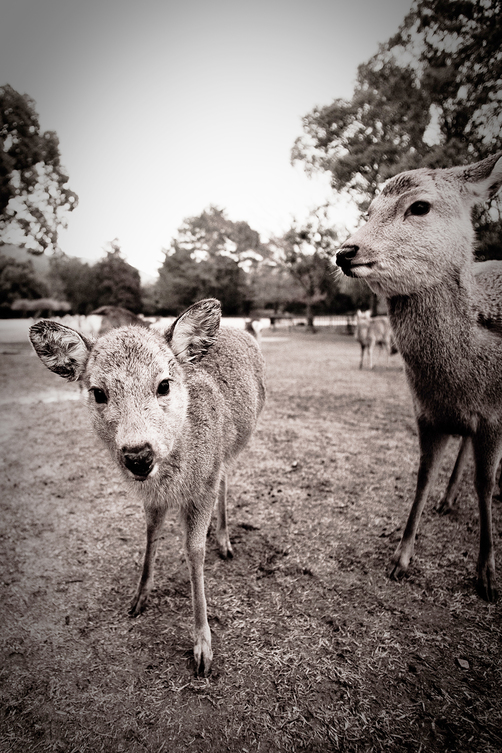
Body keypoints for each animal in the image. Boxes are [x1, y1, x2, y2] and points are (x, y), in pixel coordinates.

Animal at [28, 300, 266, 676]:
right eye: (98, 392)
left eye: (164, 384)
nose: (138, 456)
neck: (173, 481)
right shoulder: (152, 498)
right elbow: (151, 534)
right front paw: (139, 597)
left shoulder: (204, 484)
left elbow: (193, 550)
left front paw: (203, 647)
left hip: (233, 448)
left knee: (227, 479)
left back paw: (225, 540)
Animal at [336, 151, 502, 600]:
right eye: (369, 211)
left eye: (420, 206)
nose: (345, 251)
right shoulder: (426, 414)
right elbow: (422, 477)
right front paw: (401, 558)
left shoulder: (495, 418)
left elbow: (484, 483)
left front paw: (486, 575)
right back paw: (448, 499)